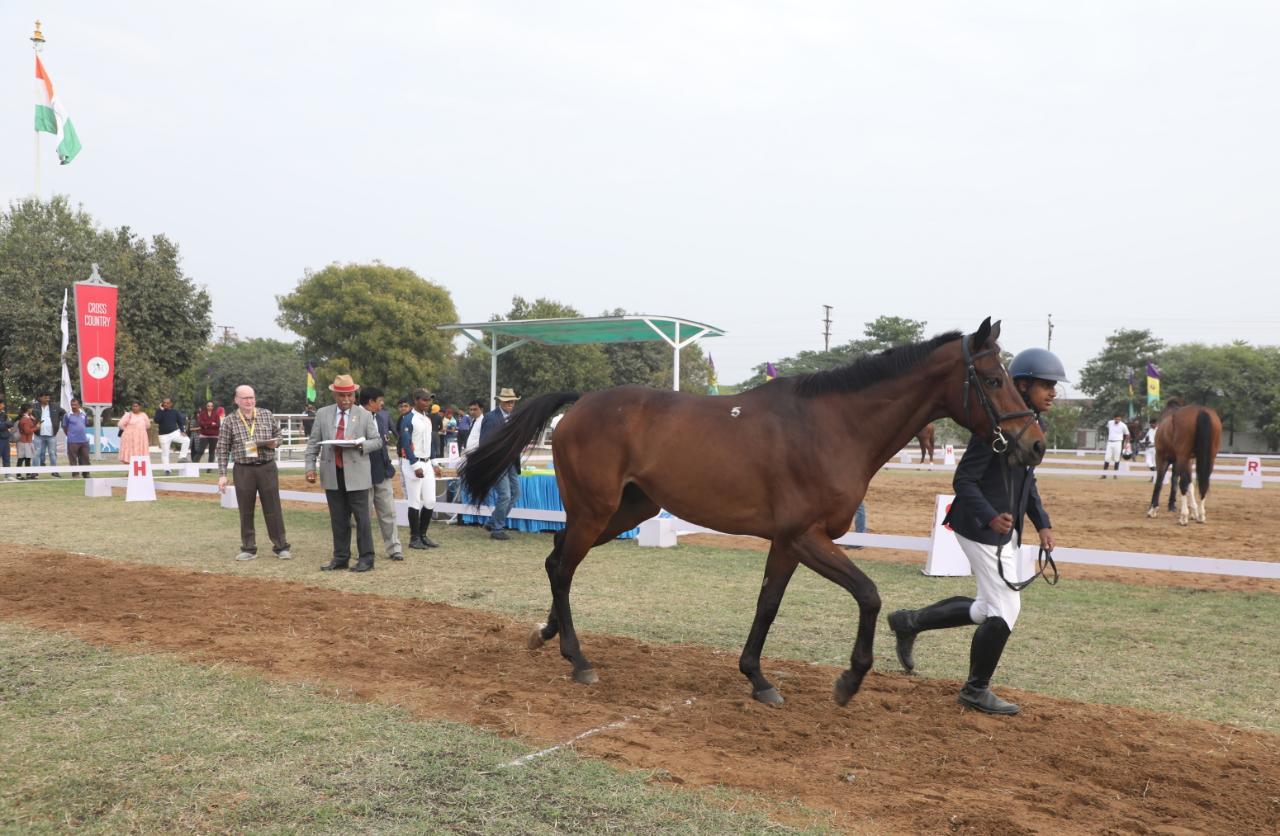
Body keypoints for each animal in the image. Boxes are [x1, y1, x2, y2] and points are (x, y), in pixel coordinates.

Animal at [465, 317, 1044, 706]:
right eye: (994, 380)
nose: (1033, 445)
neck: (832, 427)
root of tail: (581, 403)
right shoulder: (806, 536)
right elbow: (868, 594)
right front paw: (849, 680)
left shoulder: (788, 543)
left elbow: (768, 604)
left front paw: (757, 678)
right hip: (594, 512)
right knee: (563, 567)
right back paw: (579, 660)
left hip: (621, 514)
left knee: (556, 558)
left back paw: (549, 637)